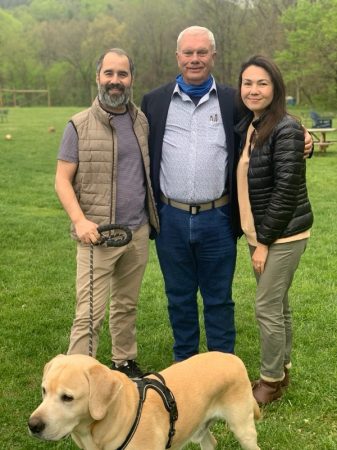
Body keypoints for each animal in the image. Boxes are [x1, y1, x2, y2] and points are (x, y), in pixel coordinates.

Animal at [28, 354, 260, 448]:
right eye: (44, 391)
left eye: (67, 398)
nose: (33, 425)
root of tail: (232, 357)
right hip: (200, 428)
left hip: (243, 430)